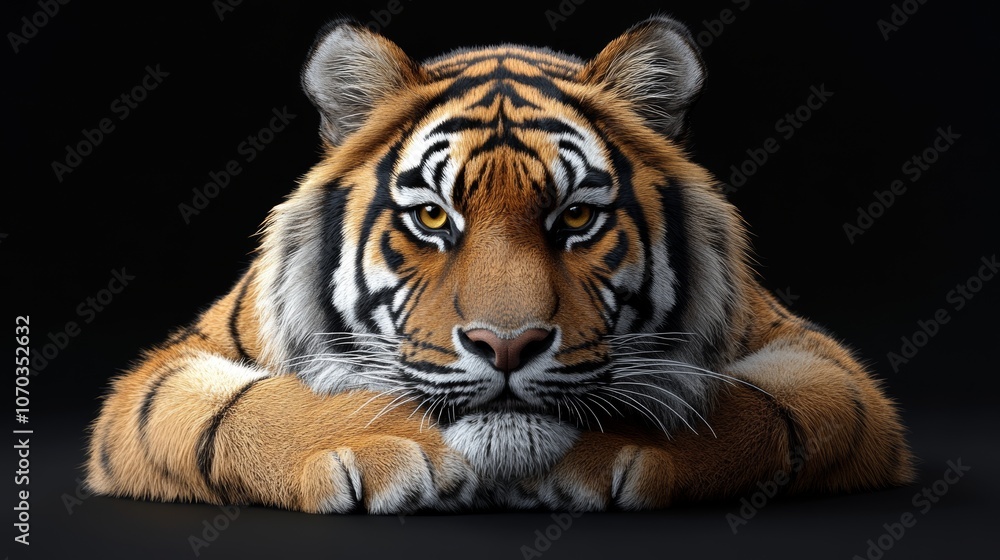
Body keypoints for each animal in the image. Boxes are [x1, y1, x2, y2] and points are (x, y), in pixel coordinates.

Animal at [84, 15, 914, 514]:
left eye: (575, 217)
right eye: (432, 218)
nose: (506, 346)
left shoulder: (827, 370)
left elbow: (750, 409)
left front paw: (615, 448)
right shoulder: (167, 373)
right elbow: (241, 410)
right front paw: (382, 446)